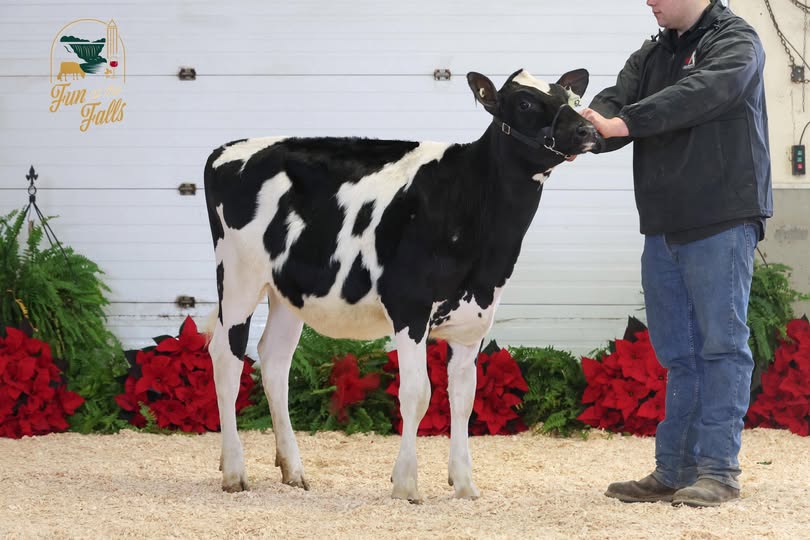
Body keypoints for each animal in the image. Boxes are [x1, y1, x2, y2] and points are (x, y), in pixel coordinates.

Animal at [203, 68, 602, 502]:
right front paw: (406, 483)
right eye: (526, 102)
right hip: (238, 277)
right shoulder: (409, 306)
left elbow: (463, 398)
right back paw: (234, 472)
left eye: (570, 97)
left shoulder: (475, 320)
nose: (588, 130)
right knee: (227, 357)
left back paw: (292, 470)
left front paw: (464, 484)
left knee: (274, 361)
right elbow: (416, 393)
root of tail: (228, 149)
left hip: (288, 292)